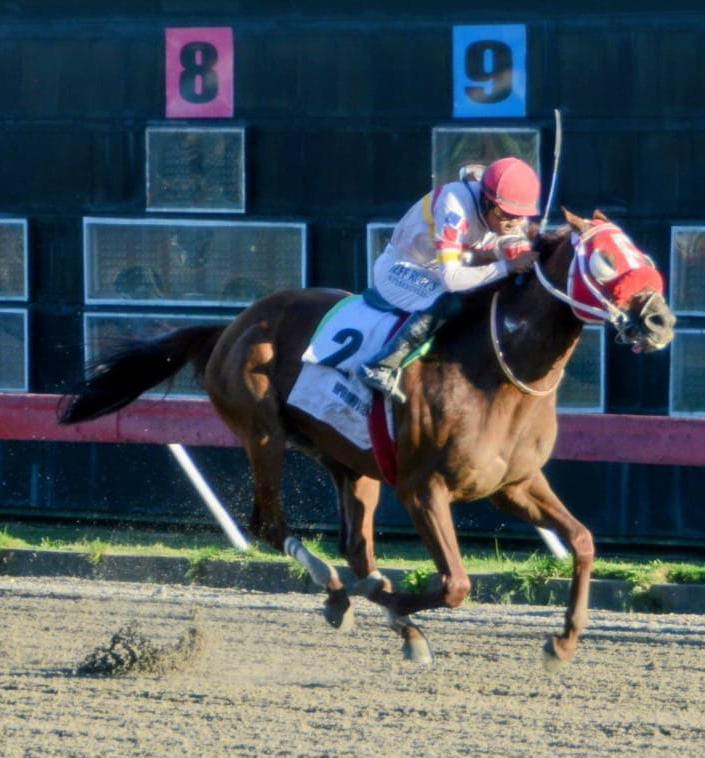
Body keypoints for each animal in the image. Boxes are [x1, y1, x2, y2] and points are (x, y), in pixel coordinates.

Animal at [59, 209, 676, 668]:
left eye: (642, 254)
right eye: (605, 258)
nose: (661, 321)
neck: (496, 370)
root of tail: (232, 326)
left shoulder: (514, 484)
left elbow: (583, 541)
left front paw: (562, 642)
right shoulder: (423, 488)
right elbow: (455, 584)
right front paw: (389, 599)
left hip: (349, 460)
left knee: (356, 545)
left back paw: (389, 619)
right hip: (262, 433)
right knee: (272, 525)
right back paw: (342, 594)